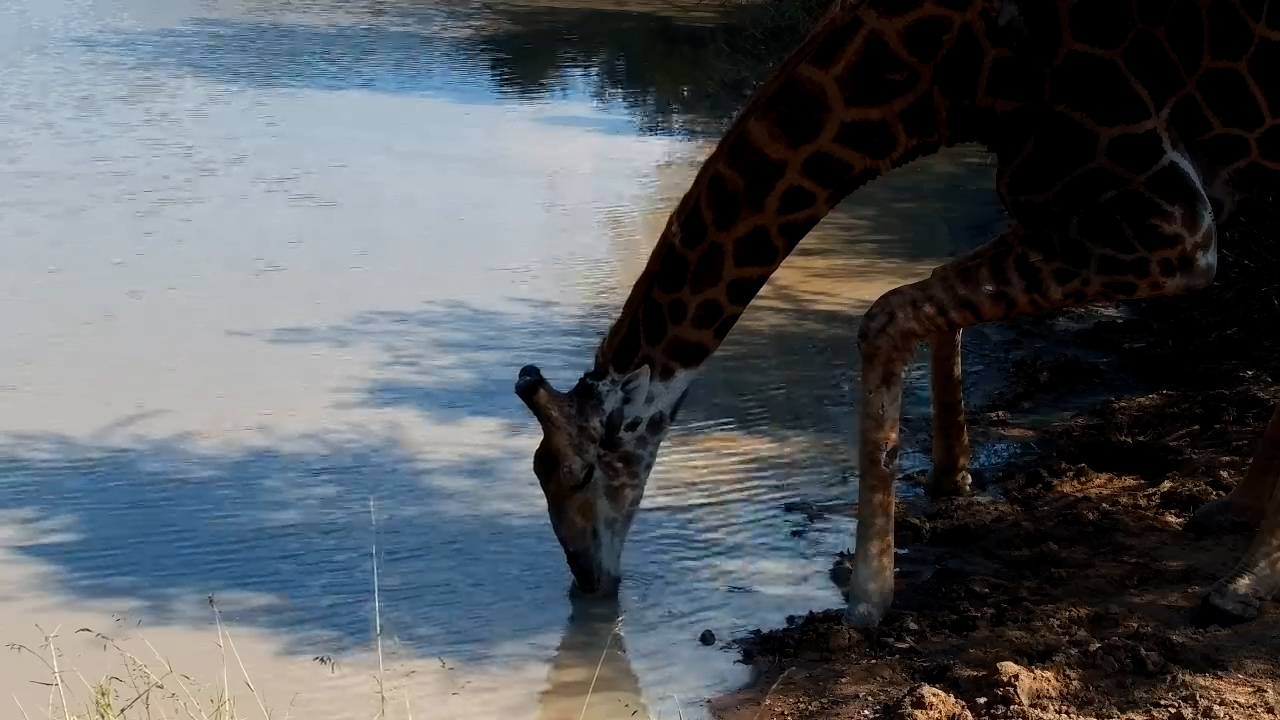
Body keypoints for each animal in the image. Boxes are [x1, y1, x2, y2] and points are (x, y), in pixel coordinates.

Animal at [515, 0, 1280, 628]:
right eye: (539, 472)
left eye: (577, 473)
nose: (588, 581)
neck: (947, 77)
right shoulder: (1065, 210)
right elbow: (933, 296)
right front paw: (950, 480)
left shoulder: (1173, 232)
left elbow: (885, 315)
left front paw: (868, 598)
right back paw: (1231, 516)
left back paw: (1242, 584)